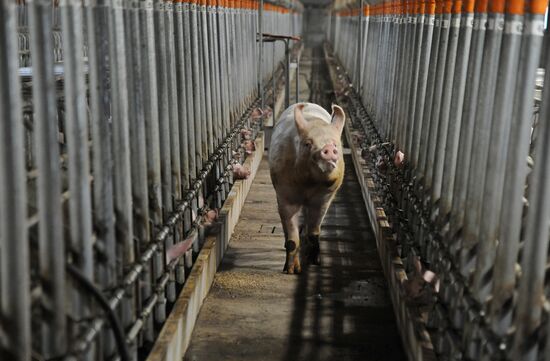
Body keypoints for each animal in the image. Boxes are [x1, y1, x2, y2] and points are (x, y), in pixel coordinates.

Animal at [270, 101, 348, 272]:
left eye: (335, 144)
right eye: (307, 143)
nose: (329, 148)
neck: (309, 184)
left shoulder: (324, 197)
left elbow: (314, 232)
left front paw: (314, 263)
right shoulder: (284, 193)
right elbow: (292, 239)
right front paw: (291, 271)